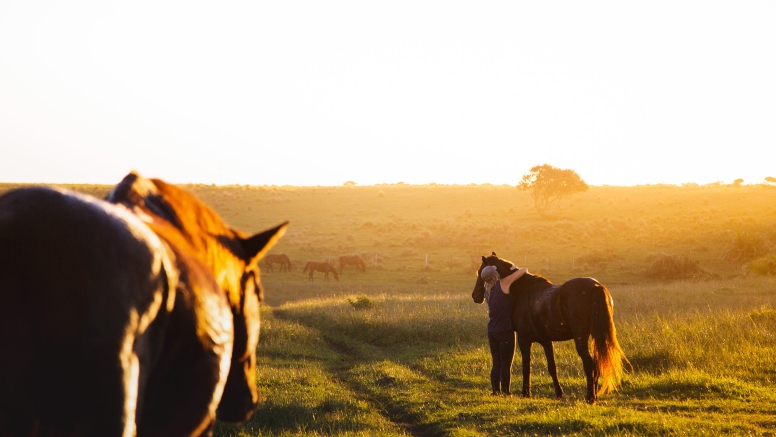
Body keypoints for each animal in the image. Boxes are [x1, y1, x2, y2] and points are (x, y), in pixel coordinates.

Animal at [470, 254, 628, 404]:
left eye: (480, 272)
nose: (475, 296)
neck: (524, 291)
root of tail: (595, 286)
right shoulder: (546, 341)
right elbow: (552, 368)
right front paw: (559, 393)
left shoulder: (524, 339)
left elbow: (526, 367)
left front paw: (525, 393)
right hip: (594, 337)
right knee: (596, 365)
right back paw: (594, 396)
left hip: (581, 339)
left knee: (590, 365)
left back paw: (590, 398)